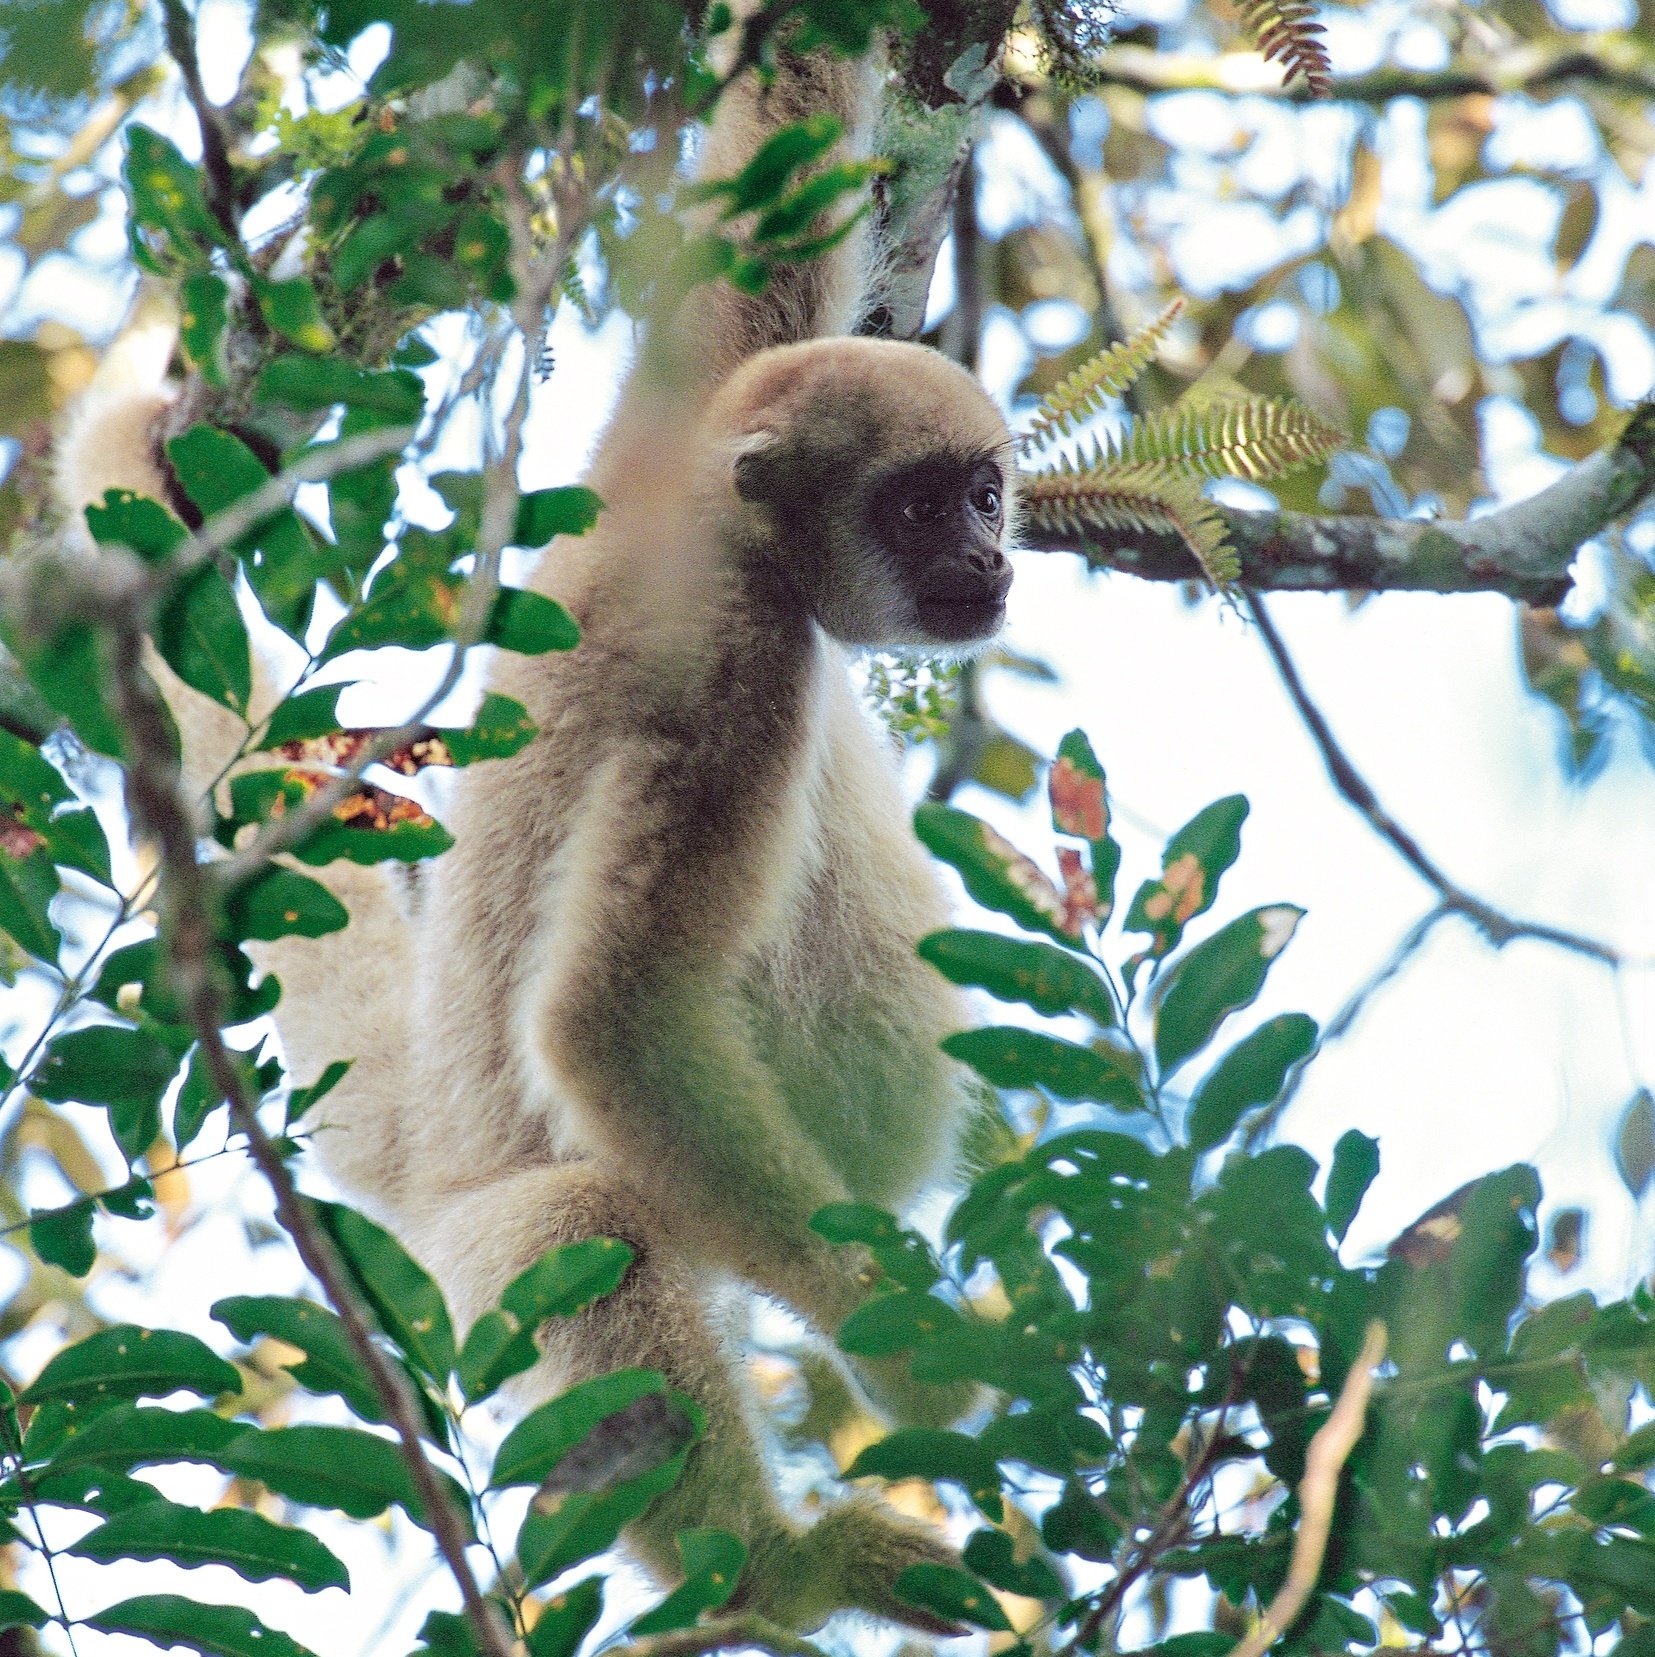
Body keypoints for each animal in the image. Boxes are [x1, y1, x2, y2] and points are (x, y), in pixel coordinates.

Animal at [58, 32, 1020, 1637]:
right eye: (919, 504)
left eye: (987, 491)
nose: (989, 558)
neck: (713, 524)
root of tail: (428, 1140)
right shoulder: (727, 668)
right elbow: (609, 1023)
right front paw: (929, 1366)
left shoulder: (688, 411)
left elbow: (771, 156)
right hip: (493, 1245)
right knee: (574, 1221)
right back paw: (777, 1573)